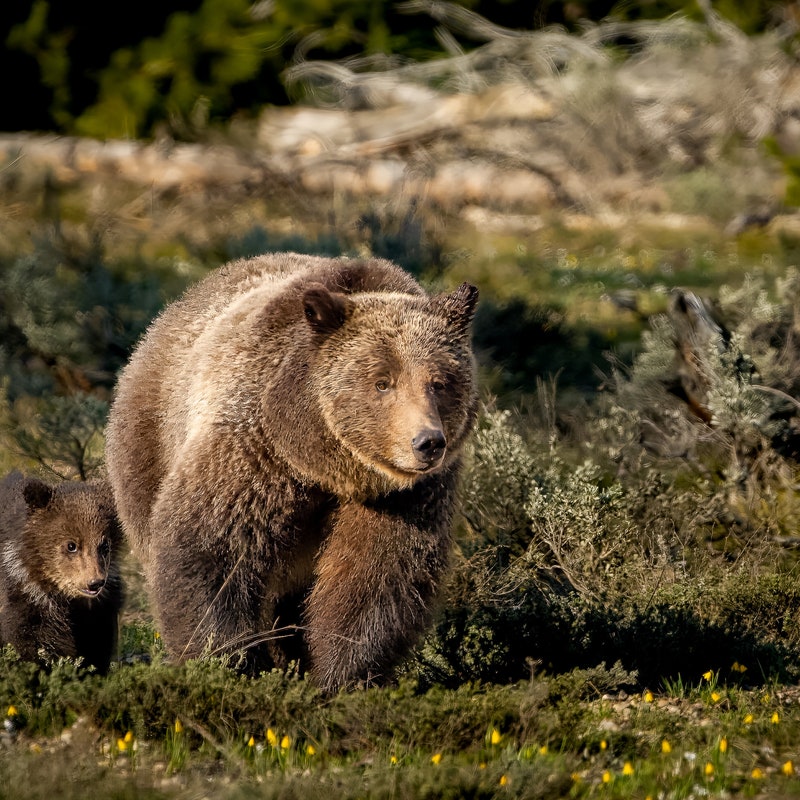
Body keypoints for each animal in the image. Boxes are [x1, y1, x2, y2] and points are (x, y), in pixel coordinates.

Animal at [0, 471, 124, 673]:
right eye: (71, 545)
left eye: (104, 545)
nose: (94, 582)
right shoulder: (26, 599)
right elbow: (32, 643)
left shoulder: (96, 611)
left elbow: (97, 643)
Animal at [104, 252, 478, 690]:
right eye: (382, 382)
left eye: (440, 381)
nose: (427, 442)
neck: (329, 467)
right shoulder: (256, 454)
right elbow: (210, 549)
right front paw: (229, 662)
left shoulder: (407, 498)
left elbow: (377, 575)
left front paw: (342, 674)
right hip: (150, 441)